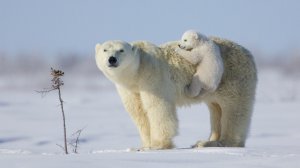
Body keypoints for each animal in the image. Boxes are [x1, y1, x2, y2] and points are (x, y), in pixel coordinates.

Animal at [95, 37, 256, 150]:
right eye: (105, 50)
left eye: (121, 50)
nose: (112, 59)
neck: (137, 72)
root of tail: (249, 54)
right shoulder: (130, 89)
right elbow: (139, 112)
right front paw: (143, 145)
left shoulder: (152, 76)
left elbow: (158, 108)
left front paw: (158, 145)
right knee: (216, 108)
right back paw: (207, 141)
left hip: (233, 78)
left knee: (233, 109)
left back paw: (222, 142)